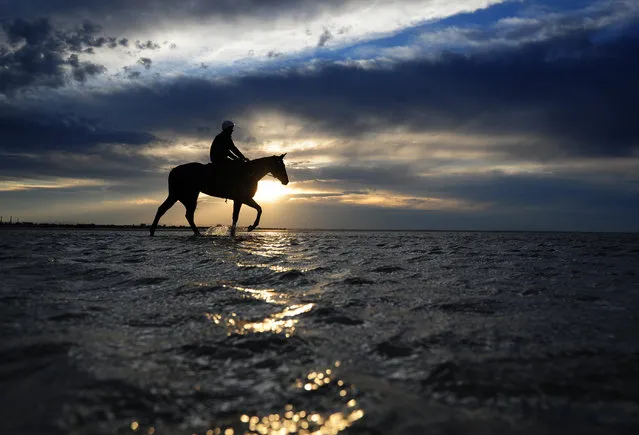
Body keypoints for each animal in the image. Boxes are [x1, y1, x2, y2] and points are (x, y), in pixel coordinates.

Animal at [149, 154, 288, 237]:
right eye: (281, 165)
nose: (286, 181)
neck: (250, 172)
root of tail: (173, 170)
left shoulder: (243, 199)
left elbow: (255, 210)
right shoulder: (242, 199)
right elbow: (249, 212)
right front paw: (249, 228)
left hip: (179, 195)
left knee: (166, 210)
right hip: (186, 195)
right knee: (185, 213)